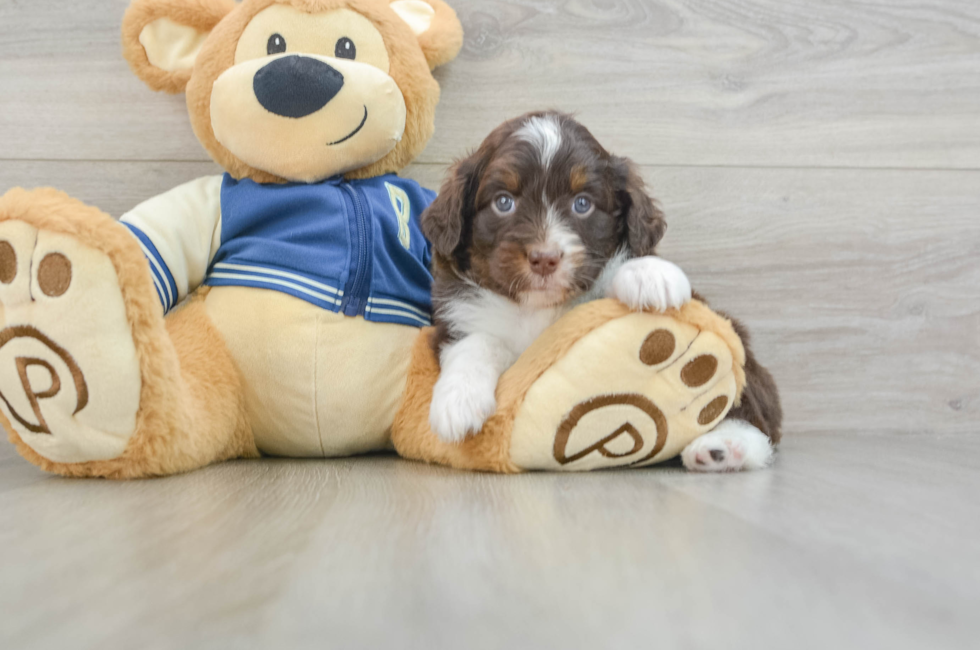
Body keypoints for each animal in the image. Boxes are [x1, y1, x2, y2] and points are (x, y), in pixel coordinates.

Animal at [422, 110, 780, 470]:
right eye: (503, 202)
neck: (537, 308)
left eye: (583, 204)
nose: (545, 259)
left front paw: (650, 275)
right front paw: (458, 401)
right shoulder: (453, 321)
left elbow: (615, 270)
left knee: (756, 416)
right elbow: (477, 342)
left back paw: (725, 447)